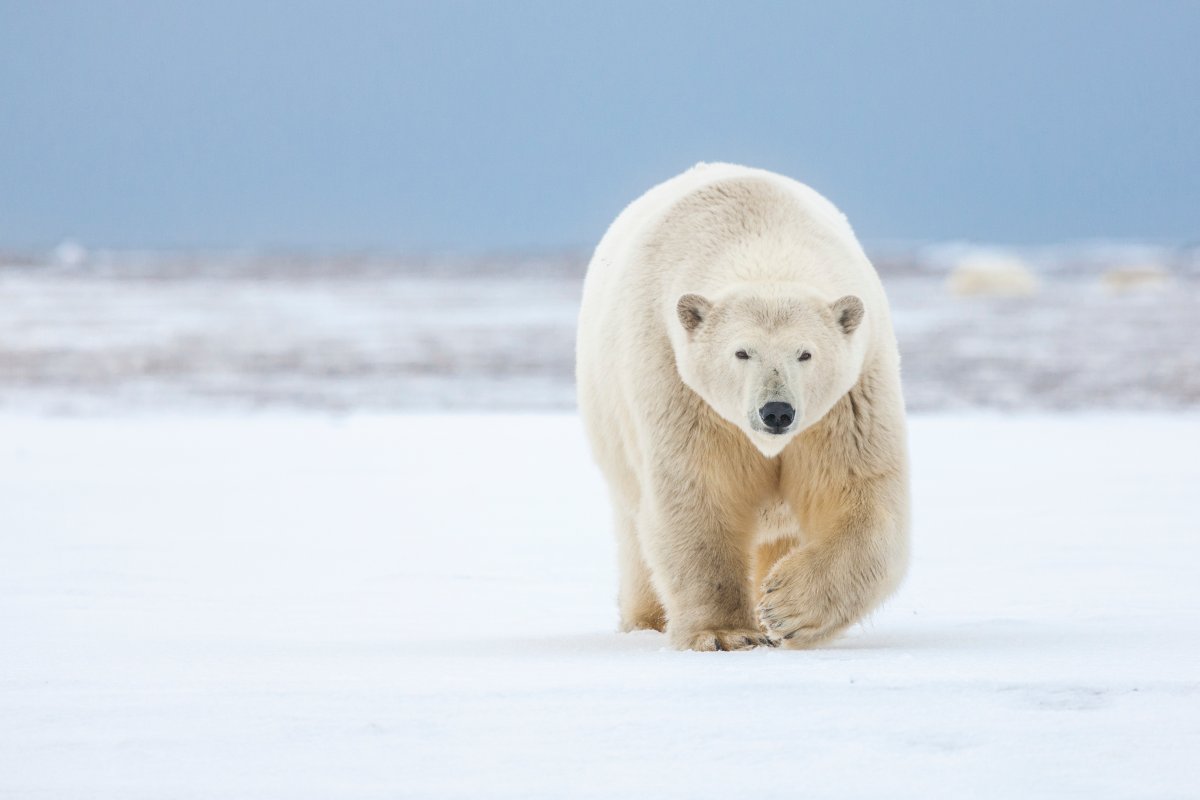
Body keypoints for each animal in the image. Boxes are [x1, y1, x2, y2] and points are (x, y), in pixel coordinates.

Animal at [573, 160, 907, 652]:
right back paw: (647, 620)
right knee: (635, 535)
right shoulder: (679, 385)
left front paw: (784, 607)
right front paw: (725, 632)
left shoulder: (850, 399)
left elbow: (859, 492)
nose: (777, 411)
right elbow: (699, 493)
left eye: (805, 353)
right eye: (741, 352)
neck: (762, 237)